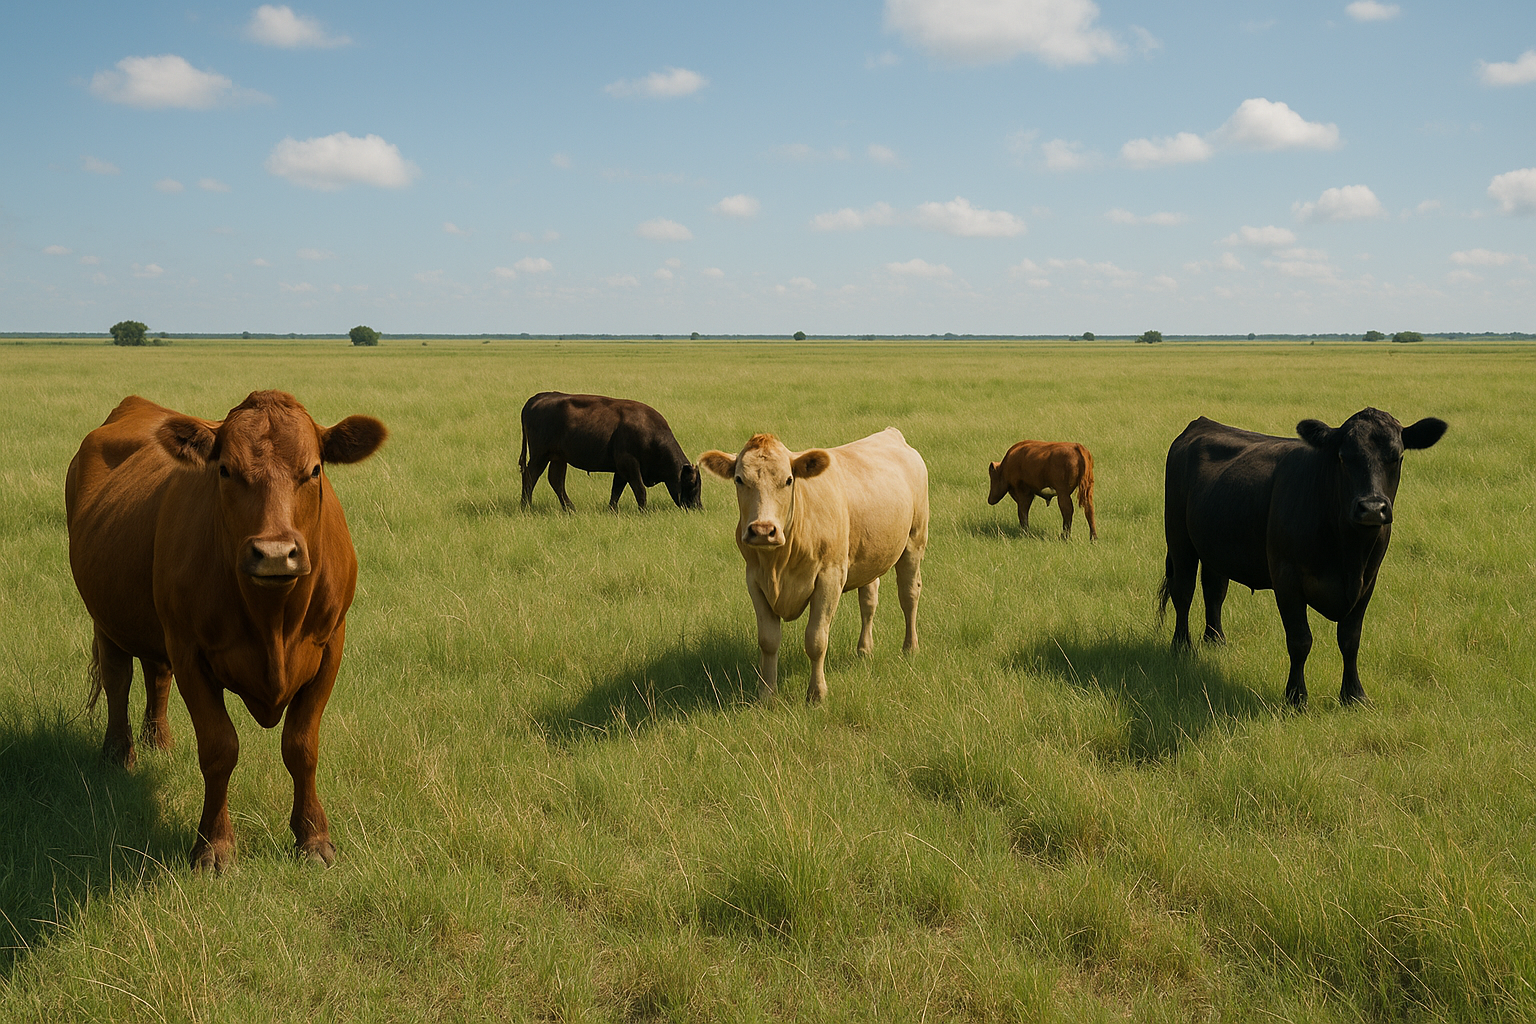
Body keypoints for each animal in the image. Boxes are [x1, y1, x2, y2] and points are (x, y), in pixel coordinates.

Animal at [65, 391, 387, 872]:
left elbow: (302, 746)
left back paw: (160, 743)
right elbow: (219, 748)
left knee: (156, 675)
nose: (275, 554)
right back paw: (120, 755)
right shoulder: (190, 652)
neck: (273, 620)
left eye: (314, 470)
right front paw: (214, 846)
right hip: (106, 618)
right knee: (118, 678)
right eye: (225, 471)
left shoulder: (330, 645)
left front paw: (313, 838)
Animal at [519, 392, 702, 512]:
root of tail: (536, 398)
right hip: (540, 456)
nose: (698, 507)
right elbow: (640, 490)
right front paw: (643, 511)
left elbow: (616, 491)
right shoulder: (629, 464)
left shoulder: (621, 469)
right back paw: (526, 507)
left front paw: (612, 510)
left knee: (556, 481)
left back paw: (570, 509)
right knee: (530, 476)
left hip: (558, 458)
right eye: (692, 483)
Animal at [698, 428, 928, 703]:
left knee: (909, 595)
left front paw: (816, 694)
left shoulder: (830, 577)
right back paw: (864, 650)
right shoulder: (754, 579)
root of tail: (891, 433)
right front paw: (767, 693)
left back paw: (910, 648)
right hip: (870, 553)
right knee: (869, 601)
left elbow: (816, 640)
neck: (778, 564)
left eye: (788, 480)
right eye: (739, 480)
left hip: (914, 541)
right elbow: (768, 640)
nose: (763, 530)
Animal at [1160, 408, 1446, 707]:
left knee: (1214, 589)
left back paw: (1215, 640)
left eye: (1397, 456)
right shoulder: (1286, 578)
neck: (1348, 553)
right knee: (1183, 592)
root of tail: (1201, 423)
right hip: (1179, 539)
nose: (1371, 508)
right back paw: (1182, 646)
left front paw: (1354, 694)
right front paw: (1296, 697)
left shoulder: (1368, 580)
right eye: (1343, 457)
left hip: (1214, 544)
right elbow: (1300, 640)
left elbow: (1350, 639)